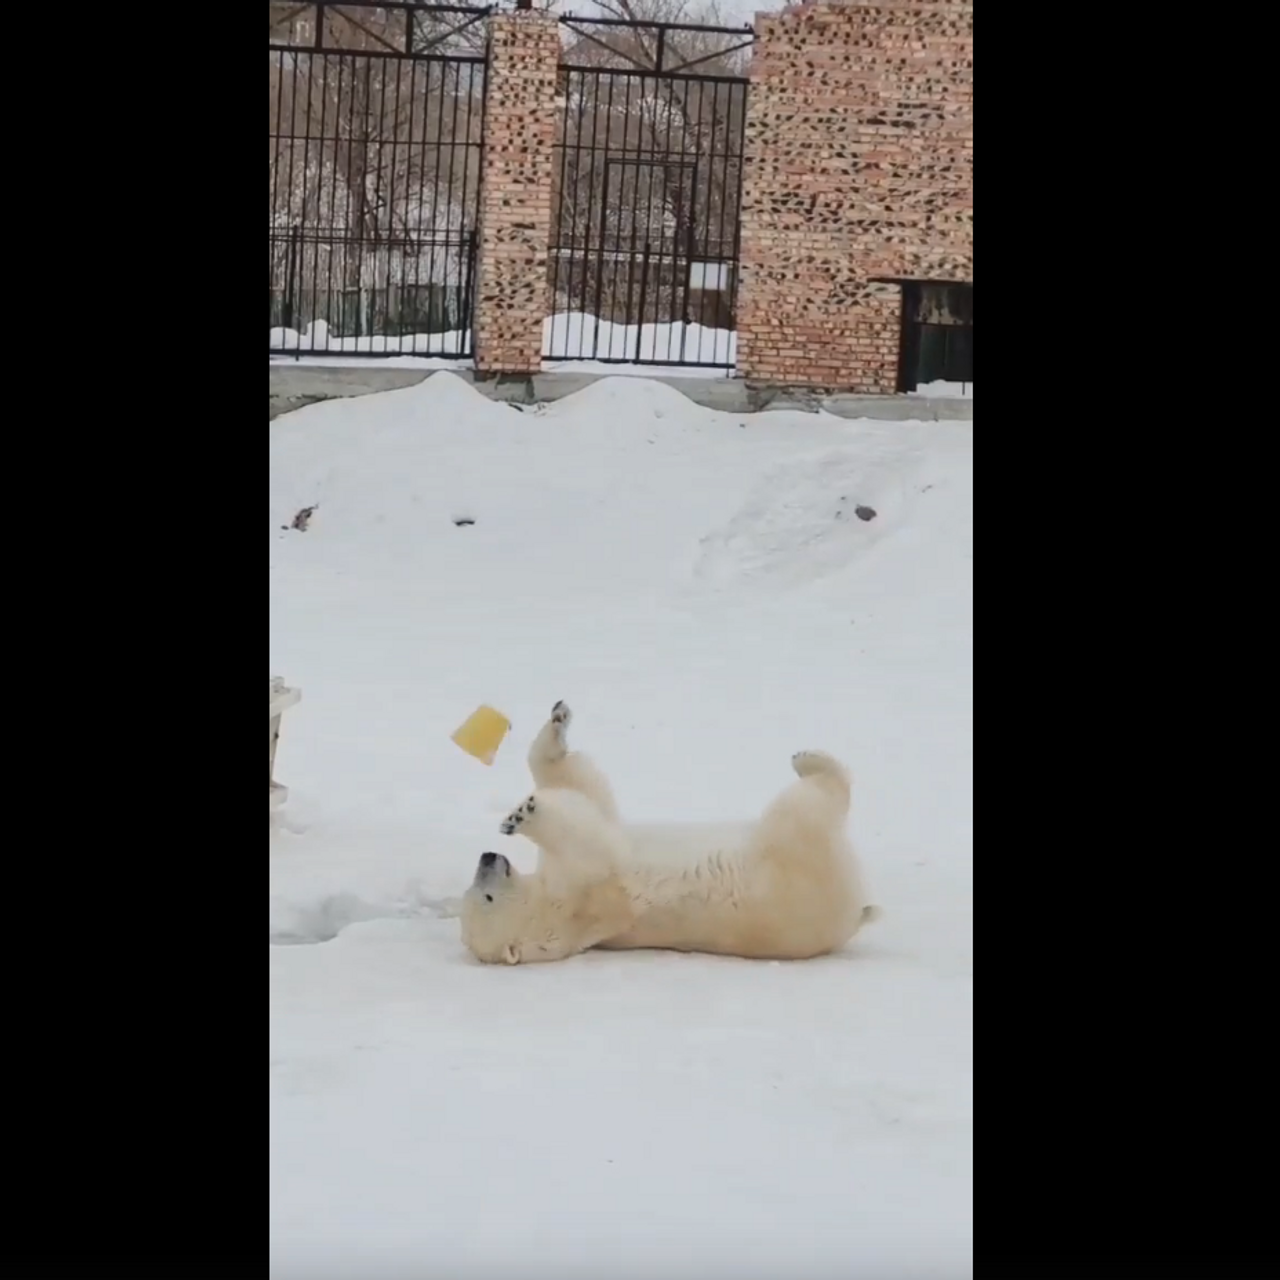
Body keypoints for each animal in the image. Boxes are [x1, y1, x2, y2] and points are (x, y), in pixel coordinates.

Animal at [460, 747, 880, 962]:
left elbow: (589, 794)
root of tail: (851, 917)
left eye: (475, 892)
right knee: (809, 805)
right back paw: (807, 761)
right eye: (487, 897)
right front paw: (525, 813)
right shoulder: (580, 894)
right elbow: (587, 838)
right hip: (793, 861)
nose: (486, 858)